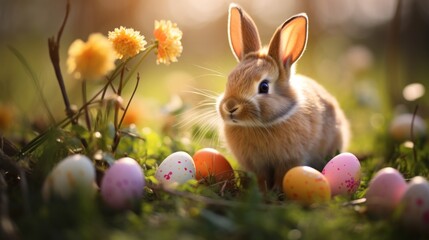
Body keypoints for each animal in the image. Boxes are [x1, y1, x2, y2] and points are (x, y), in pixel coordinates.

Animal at [216, 3, 350, 191]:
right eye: (229, 80)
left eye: (264, 86)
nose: (230, 106)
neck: (259, 126)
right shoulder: (257, 165)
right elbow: (261, 178)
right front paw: (262, 192)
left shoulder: (289, 160)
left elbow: (282, 176)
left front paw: (276, 191)